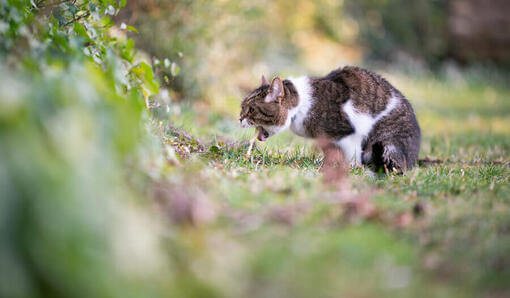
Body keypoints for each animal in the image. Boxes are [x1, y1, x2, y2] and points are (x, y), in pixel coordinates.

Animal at [239, 66, 422, 172]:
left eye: (251, 110)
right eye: (242, 107)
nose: (240, 118)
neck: (302, 105)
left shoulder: (349, 134)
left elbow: (351, 156)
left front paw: (349, 168)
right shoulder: (327, 140)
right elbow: (331, 153)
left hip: (388, 143)